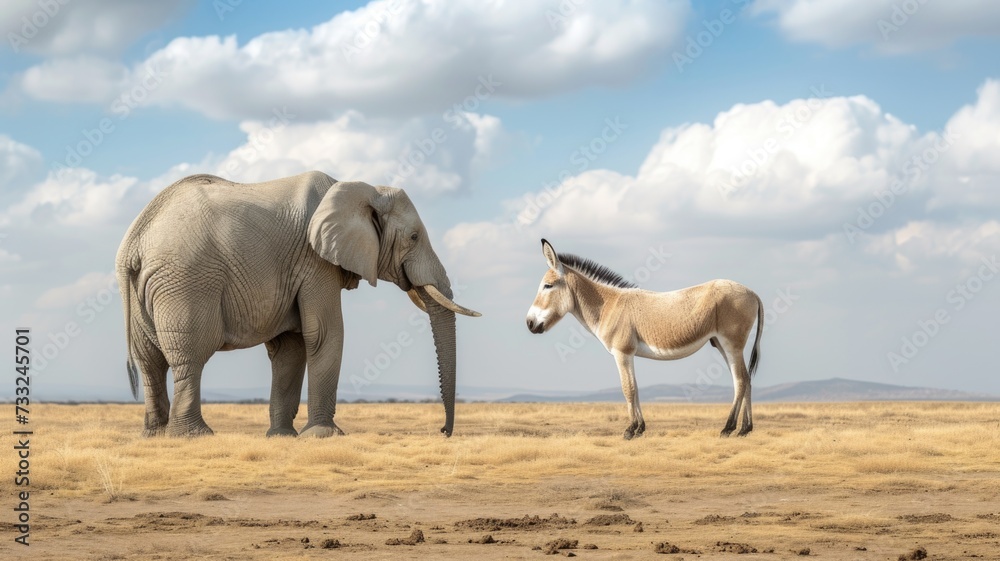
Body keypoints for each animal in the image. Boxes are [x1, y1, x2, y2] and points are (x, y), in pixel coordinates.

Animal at [115, 171, 480, 438]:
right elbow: (324, 333)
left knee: (149, 361)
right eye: (414, 237)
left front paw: (282, 437)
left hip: (146, 288)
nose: (443, 431)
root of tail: (133, 242)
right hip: (186, 280)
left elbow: (290, 346)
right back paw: (194, 435)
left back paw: (155, 436)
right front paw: (324, 435)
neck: (362, 189)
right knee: (190, 356)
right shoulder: (314, 261)